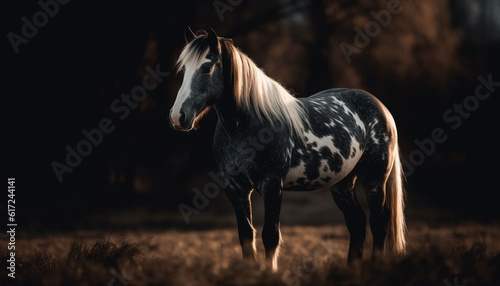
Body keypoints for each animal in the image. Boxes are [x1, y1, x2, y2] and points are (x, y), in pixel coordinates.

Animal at [170, 28, 404, 270]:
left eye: (207, 68)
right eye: (184, 69)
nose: (178, 116)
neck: (247, 126)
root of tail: (380, 107)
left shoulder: (272, 184)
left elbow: (270, 235)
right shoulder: (235, 187)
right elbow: (246, 235)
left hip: (374, 178)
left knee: (378, 222)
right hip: (341, 184)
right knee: (357, 223)